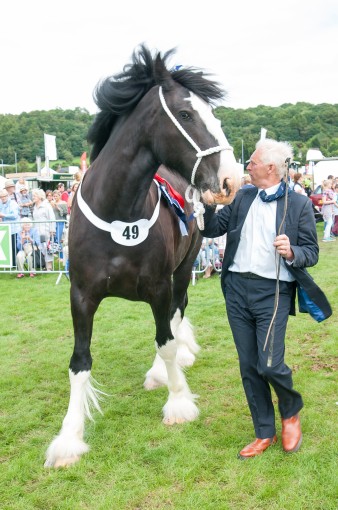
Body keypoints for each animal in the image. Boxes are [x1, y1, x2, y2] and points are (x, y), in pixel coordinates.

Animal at [45, 46, 240, 466]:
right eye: (186, 114)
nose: (231, 180)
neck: (118, 212)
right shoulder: (80, 296)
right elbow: (79, 363)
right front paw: (69, 437)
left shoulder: (158, 287)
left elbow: (166, 341)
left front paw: (178, 401)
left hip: (183, 270)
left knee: (176, 315)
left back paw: (164, 372)